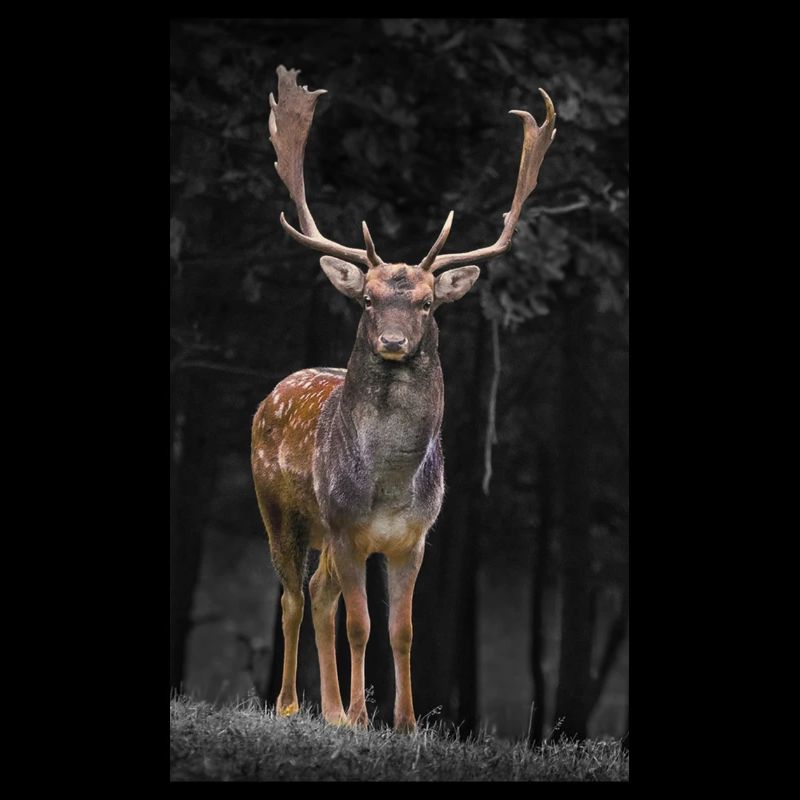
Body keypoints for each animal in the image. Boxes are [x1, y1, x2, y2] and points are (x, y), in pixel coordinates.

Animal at [252, 65, 556, 732]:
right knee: (292, 597)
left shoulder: (414, 538)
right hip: (279, 510)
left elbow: (402, 630)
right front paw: (363, 717)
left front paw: (405, 722)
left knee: (318, 596)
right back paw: (291, 705)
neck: (389, 485)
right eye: (367, 299)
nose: (392, 341)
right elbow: (361, 626)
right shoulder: (345, 526)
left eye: (427, 303)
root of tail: (274, 392)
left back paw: (330, 711)